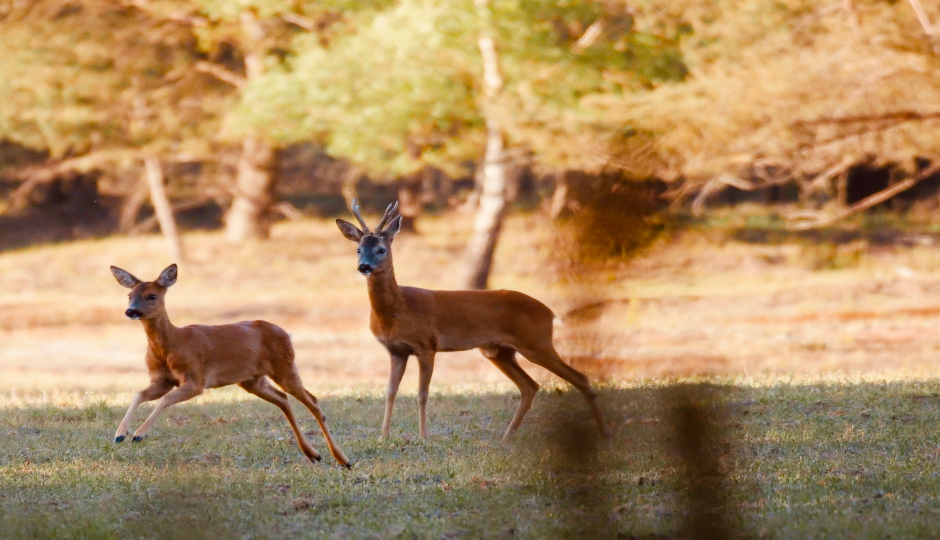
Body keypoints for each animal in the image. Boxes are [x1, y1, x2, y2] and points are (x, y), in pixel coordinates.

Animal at [107, 264, 348, 466]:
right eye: (130, 295)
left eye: (152, 295)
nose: (131, 311)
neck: (172, 344)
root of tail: (285, 333)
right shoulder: (162, 380)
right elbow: (139, 394)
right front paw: (120, 434)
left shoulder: (196, 378)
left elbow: (165, 399)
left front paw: (140, 434)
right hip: (252, 380)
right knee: (283, 399)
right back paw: (313, 454)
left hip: (284, 365)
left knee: (312, 401)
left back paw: (342, 459)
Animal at [336, 200, 608, 440]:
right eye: (358, 250)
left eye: (381, 249)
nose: (364, 266)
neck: (399, 310)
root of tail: (550, 312)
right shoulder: (396, 351)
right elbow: (390, 392)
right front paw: (383, 437)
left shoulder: (427, 346)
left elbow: (422, 393)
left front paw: (424, 437)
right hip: (499, 351)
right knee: (530, 386)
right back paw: (507, 436)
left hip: (536, 342)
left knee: (579, 378)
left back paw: (605, 432)